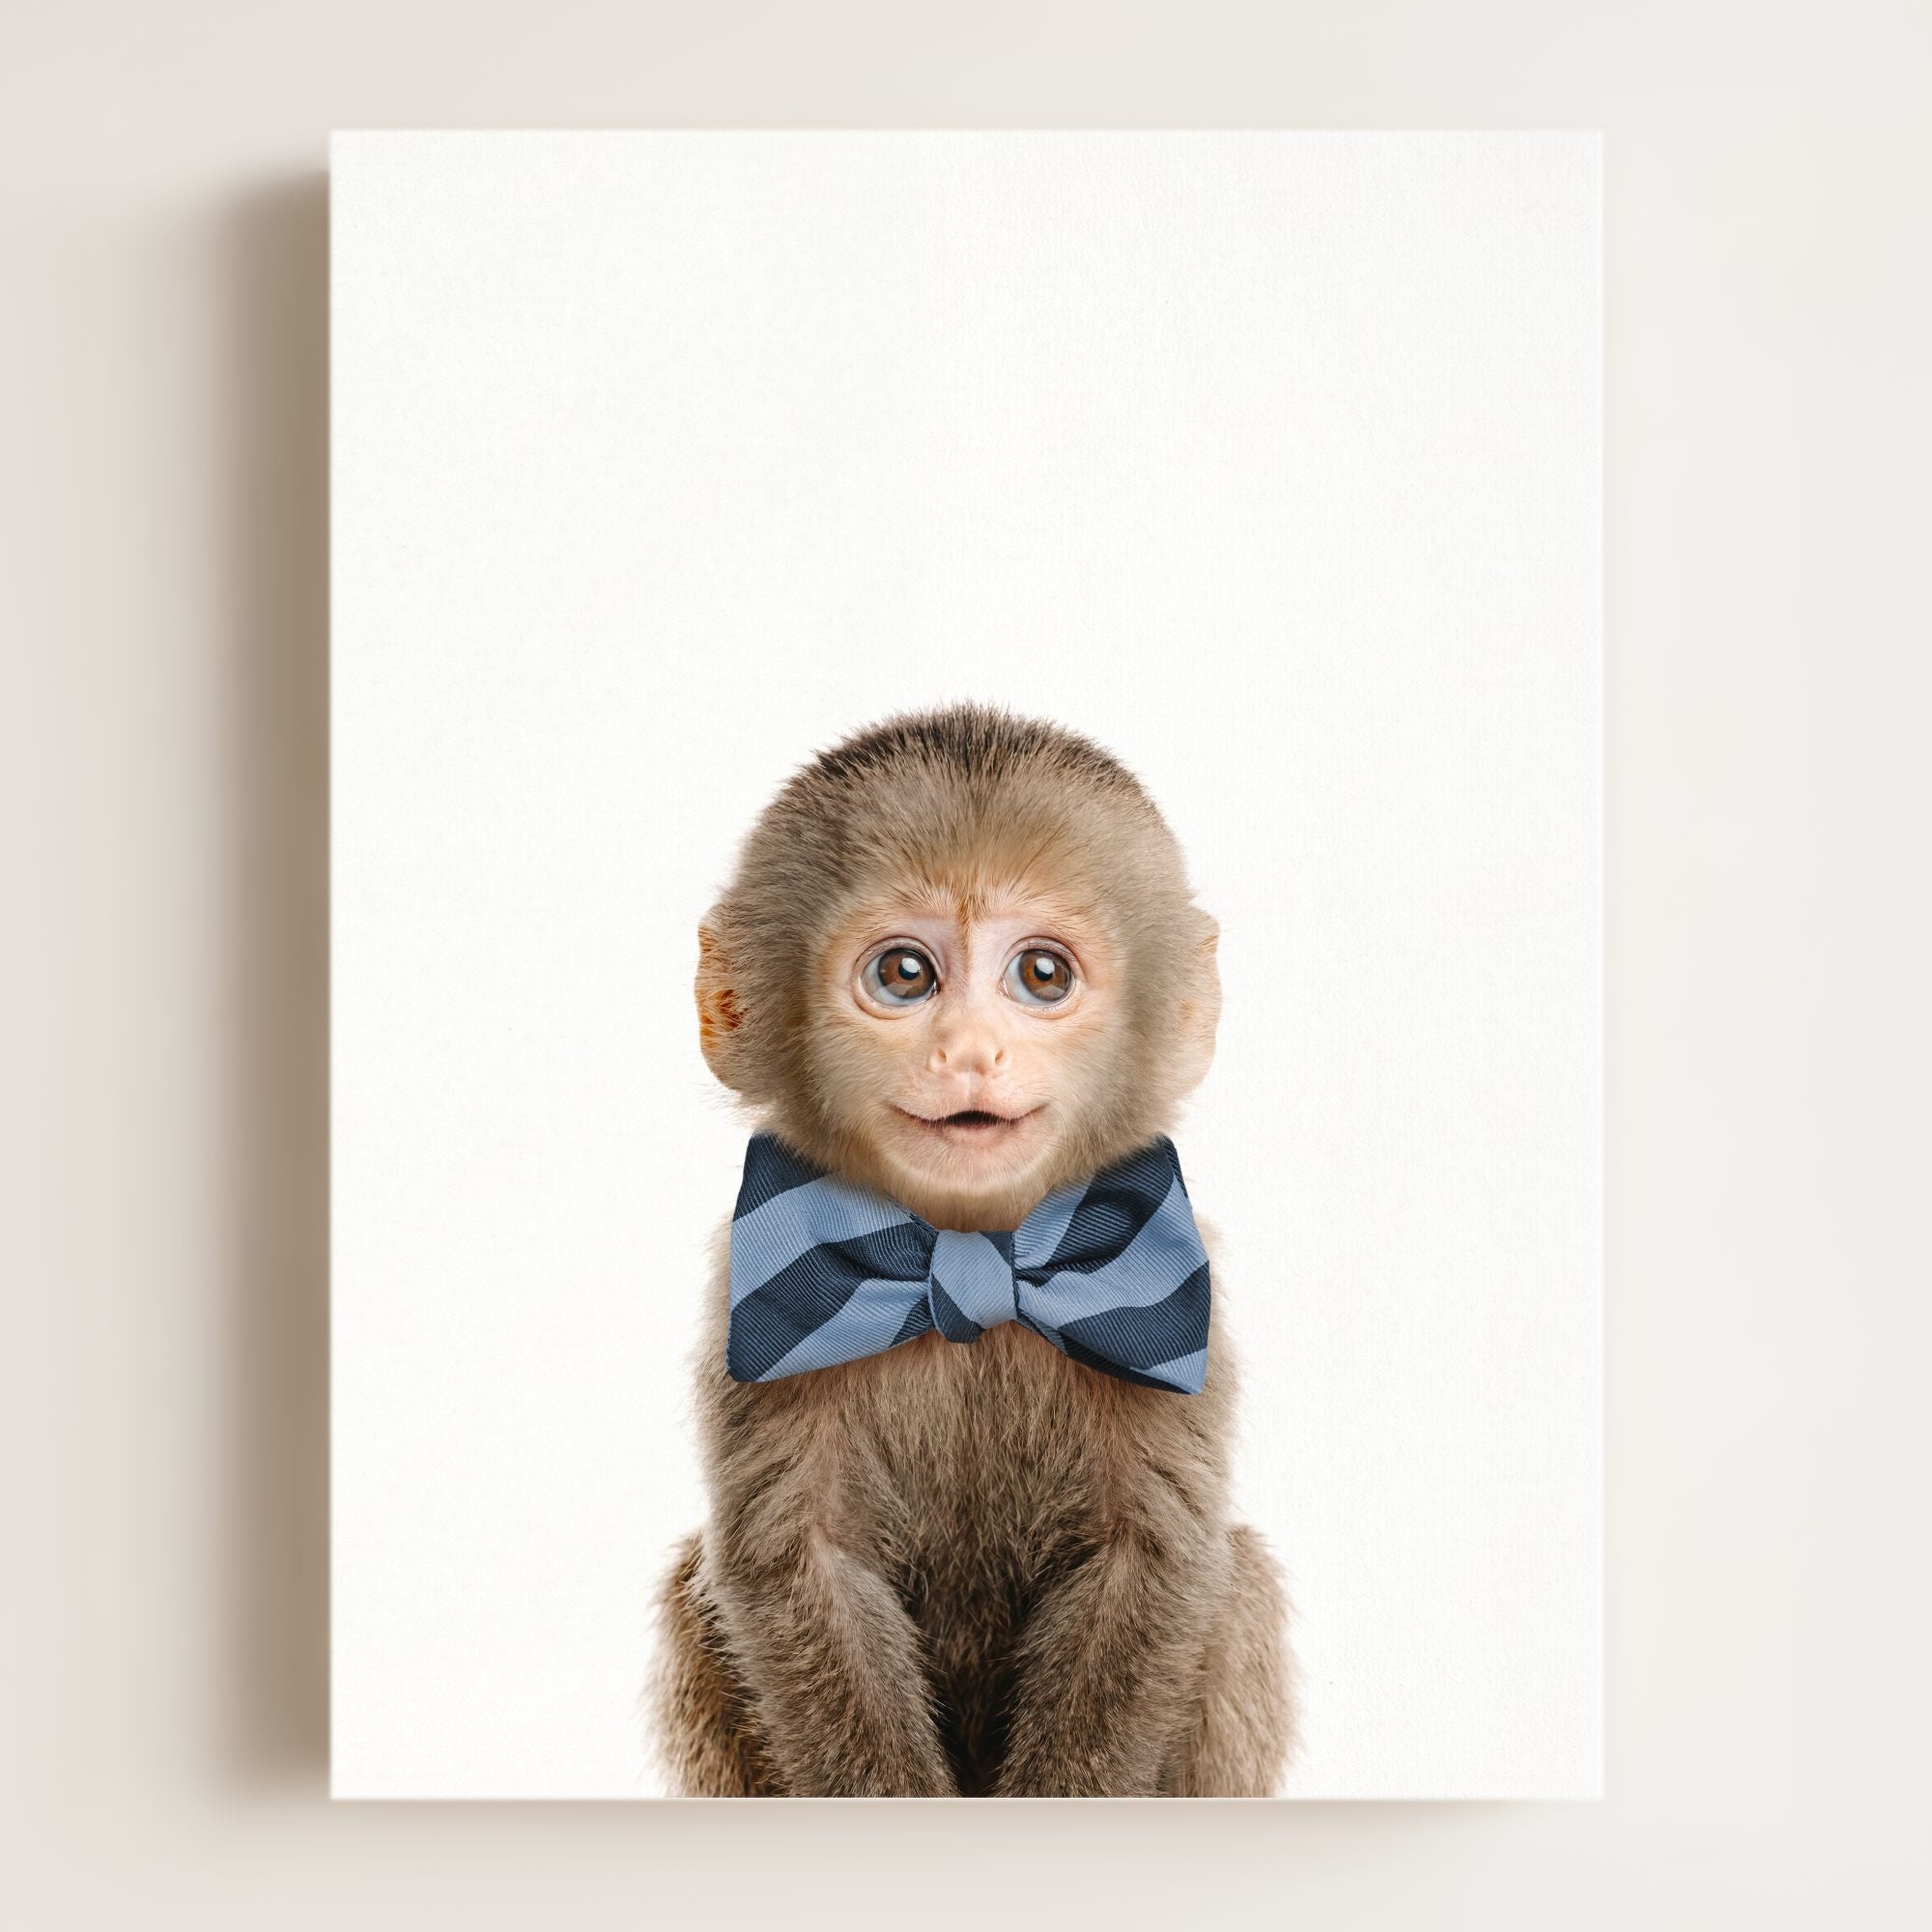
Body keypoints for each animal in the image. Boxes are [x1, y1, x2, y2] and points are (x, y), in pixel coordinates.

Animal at [650, 704, 1295, 1797]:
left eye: (1041, 974)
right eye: (904, 974)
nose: (968, 1053)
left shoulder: (1171, 1278)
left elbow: (1152, 1560)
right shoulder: (753, 1288)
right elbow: (798, 1564)